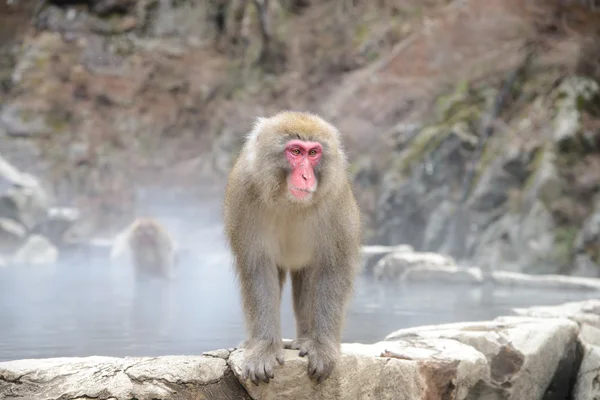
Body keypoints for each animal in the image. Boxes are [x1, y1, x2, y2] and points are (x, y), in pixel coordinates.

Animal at [221, 111, 358, 384]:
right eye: (295, 151)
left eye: (313, 153)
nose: (306, 176)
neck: (288, 201)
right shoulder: (244, 194)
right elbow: (258, 270)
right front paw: (263, 348)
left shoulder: (335, 198)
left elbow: (333, 269)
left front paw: (322, 347)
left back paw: (304, 339)